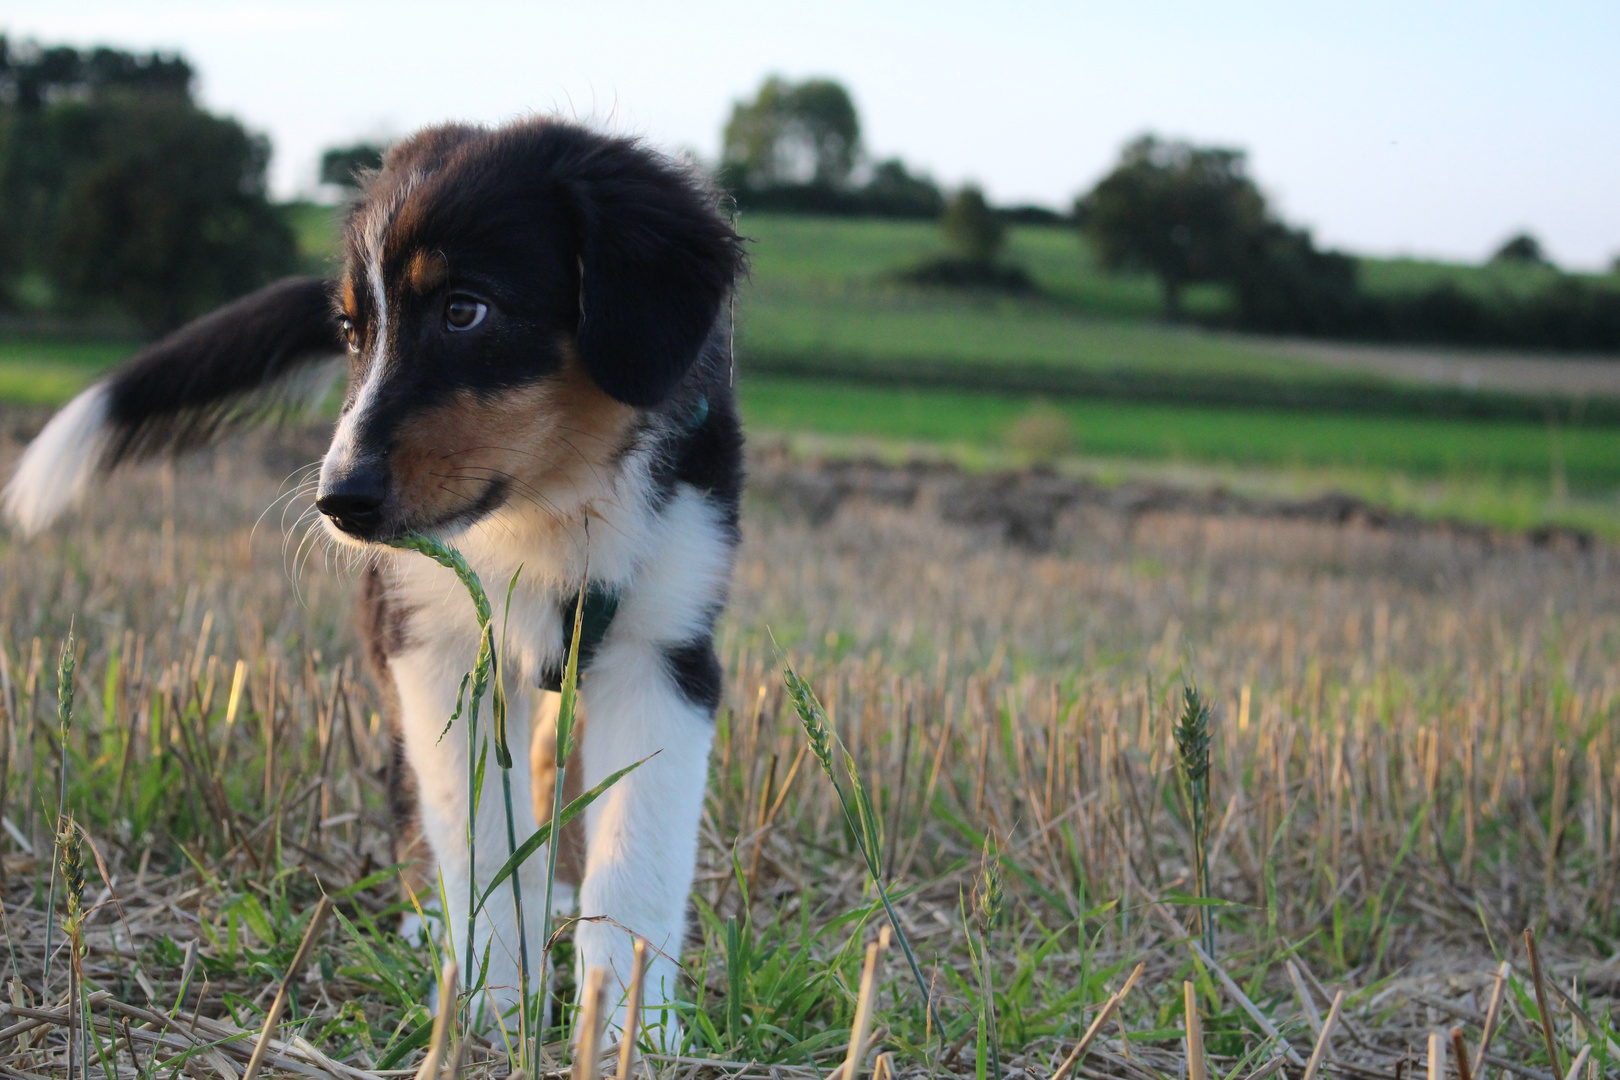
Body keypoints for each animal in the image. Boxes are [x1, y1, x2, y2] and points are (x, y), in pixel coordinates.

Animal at [3, 122, 748, 1042]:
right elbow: (475, 841)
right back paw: (436, 920)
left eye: (465, 309)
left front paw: (627, 1033)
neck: (549, 505)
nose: (339, 502)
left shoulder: (666, 648)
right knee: (413, 790)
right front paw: (488, 1009)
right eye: (353, 332)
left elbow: (638, 855)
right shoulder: (432, 640)